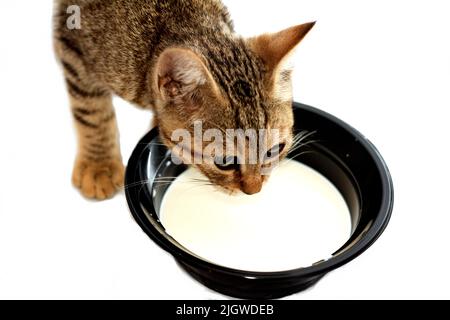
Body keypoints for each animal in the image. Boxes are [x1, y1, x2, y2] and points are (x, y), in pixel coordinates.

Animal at [52, 0, 312, 199]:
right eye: (225, 161)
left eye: (274, 150)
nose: (254, 190)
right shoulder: (72, 45)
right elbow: (92, 113)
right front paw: (99, 165)